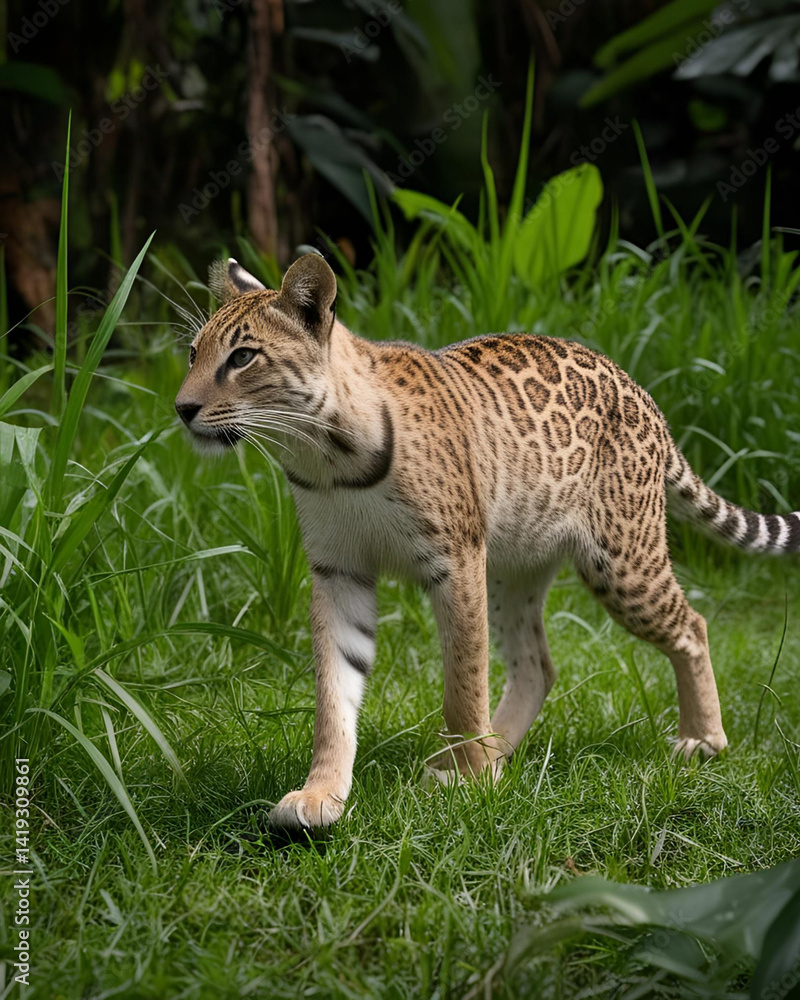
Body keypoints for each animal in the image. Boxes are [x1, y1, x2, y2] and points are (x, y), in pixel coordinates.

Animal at [174, 253, 800, 830]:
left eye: (242, 356)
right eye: (193, 354)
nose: (182, 409)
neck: (323, 455)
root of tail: (642, 394)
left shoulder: (455, 560)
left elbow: (463, 680)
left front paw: (471, 783)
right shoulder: (338, 572)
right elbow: (334, 692)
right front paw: (320, 796)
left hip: (622, 560)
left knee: (691, 626)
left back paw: (702, 740)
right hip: (514, 569)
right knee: (536, 665)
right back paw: (495, 754)